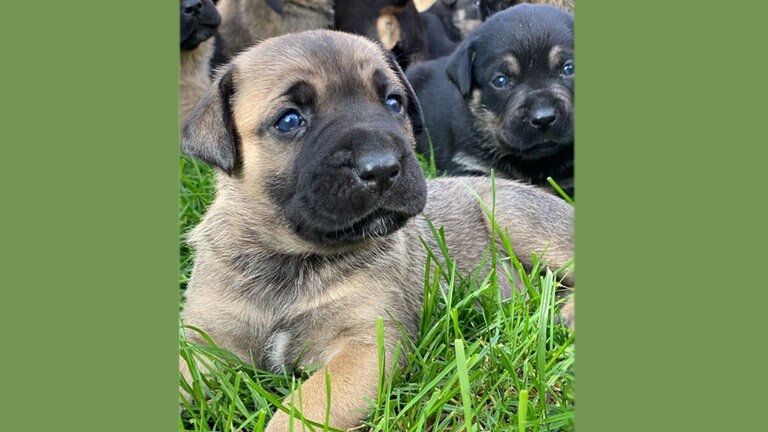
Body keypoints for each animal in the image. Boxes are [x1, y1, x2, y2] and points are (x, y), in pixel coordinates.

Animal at [182, 28, 576, 430]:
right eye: (289, 121)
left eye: (393, 103)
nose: (382, 168)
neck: (289, 258)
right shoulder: (204, 340)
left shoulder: (367, 344)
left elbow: (304, 406)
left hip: (512, 215)